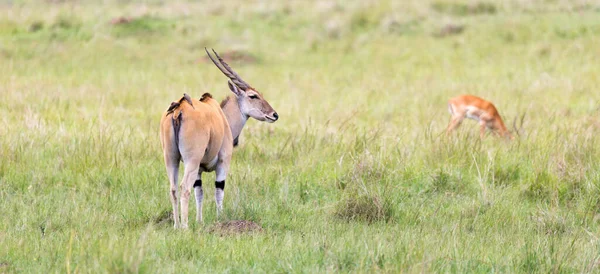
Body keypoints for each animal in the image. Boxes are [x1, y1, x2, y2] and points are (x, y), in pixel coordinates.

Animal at [161, 48, 280, 228]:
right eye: (253, 96)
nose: (274, 115)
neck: (221, 116)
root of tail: (179, 109)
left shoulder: (199, 170)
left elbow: (199, 192)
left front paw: (200, 221)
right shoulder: (223, 162)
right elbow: (219, 190)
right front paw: (220, 219)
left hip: (171, 159)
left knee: (173, 189)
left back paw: (176, 225)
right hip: (190, 161)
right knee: (184, 188)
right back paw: (185, 227)